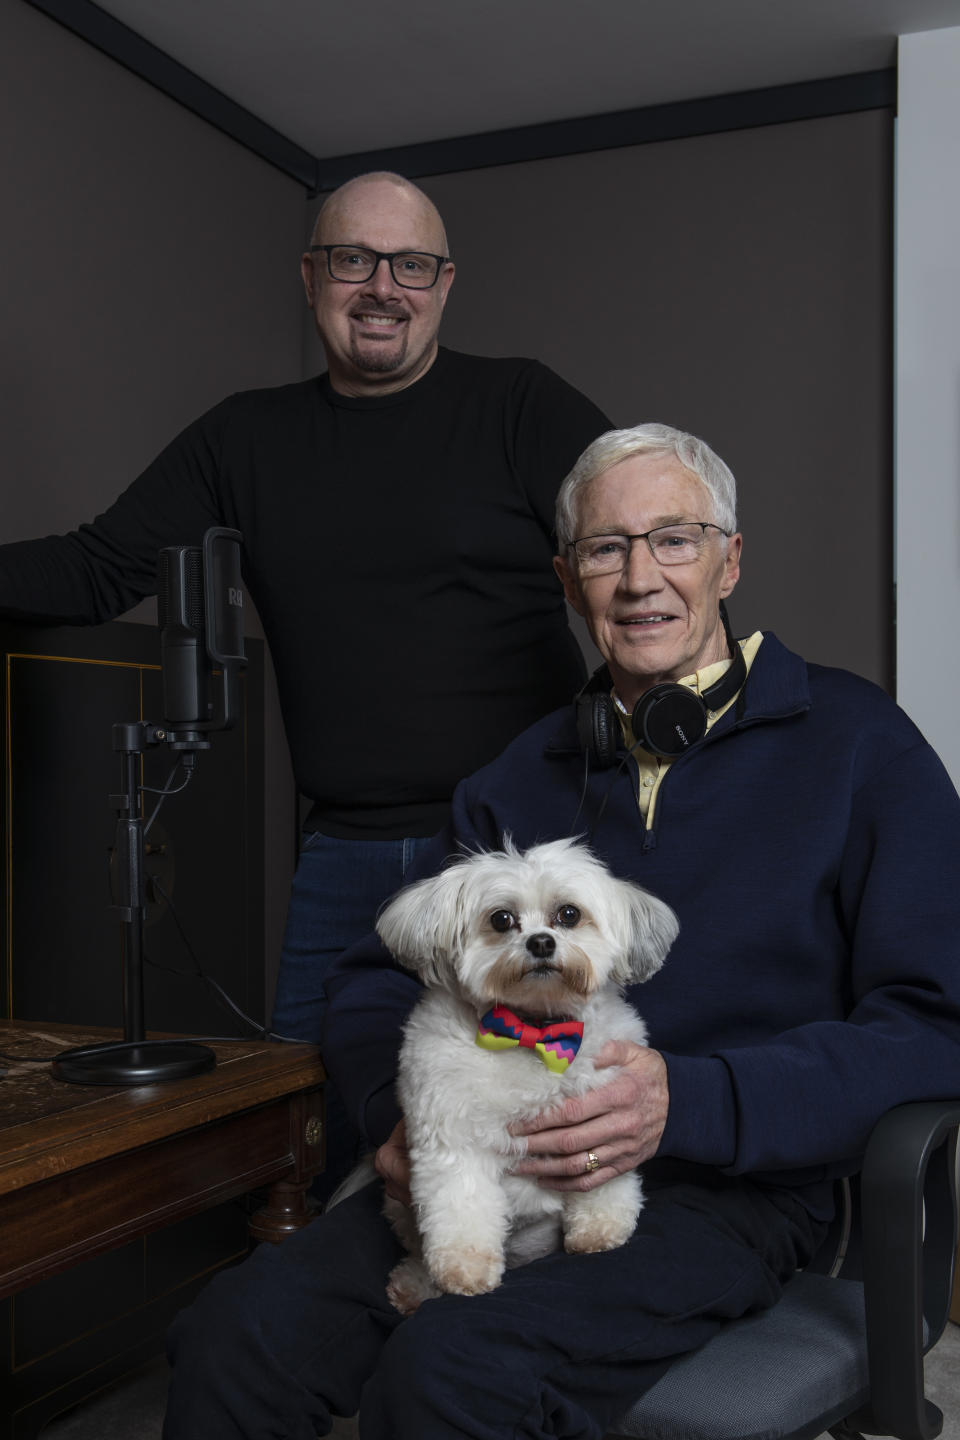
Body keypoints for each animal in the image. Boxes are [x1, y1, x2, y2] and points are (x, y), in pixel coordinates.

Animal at [371, 835, 679, 1319]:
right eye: (501, 919)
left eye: (568, 914)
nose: (541, 942)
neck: (533, 1029)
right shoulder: (452, 1139)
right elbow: (461, 1209)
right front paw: (464, 1270)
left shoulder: (609, 1118)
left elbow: (605, 1185)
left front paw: (600, 1228)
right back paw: (415, 1285)